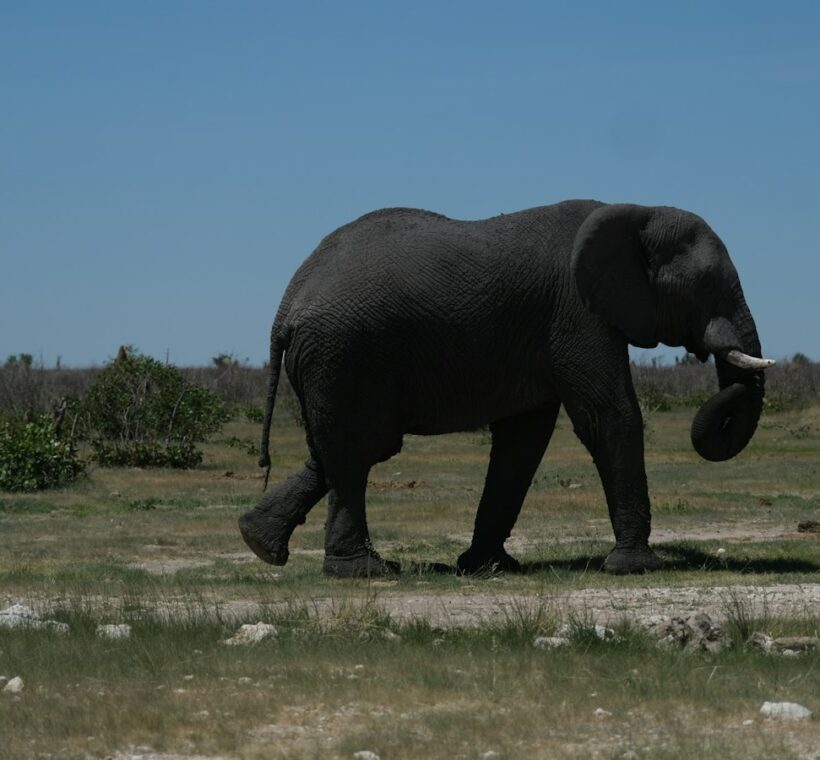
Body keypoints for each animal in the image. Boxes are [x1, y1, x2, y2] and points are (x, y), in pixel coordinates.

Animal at [235, 200, 768, 576]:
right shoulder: (577, 315)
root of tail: (286, 307)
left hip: (330, 362)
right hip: (342, 354)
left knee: (343, 448)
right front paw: (636, 568)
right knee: (357, 448)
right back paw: (364, 572)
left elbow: (523, 440)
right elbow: (609, 417)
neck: (634, 210)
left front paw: (488, 567)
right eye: (708, 284)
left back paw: (259, 543)